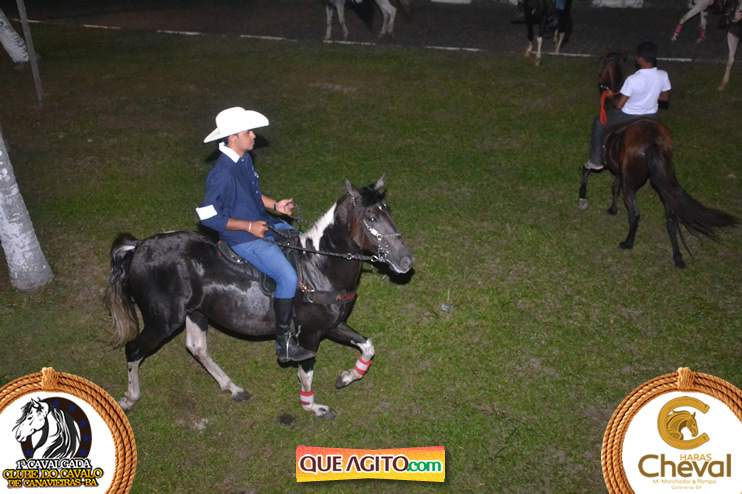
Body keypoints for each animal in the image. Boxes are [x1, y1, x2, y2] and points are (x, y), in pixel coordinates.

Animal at [104, 175, 414, 419]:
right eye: (371, 218)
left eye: (389, 211)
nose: (406, 260)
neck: (319, 266)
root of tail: (138, 247)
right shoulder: (309, 335)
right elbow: (306, 372)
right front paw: (313, 407)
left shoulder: (333, 325)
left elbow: (368, 347)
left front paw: (347, 377)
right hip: (163, 320)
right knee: (134, 350)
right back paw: (129, 399)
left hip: (195, 312)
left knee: (196, 348)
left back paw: (232, 387)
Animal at [577, 51, 738, 268]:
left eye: (601, 66)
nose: (601, 84)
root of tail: (653, 142)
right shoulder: (620, 170)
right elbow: (614, 188)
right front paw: (612, 209)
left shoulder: (607, 164)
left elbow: (588, 170)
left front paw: (583, 198)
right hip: (663, 183)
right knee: (671, 219)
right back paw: (678, 257)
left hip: (634, 185)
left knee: (635, 214)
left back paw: (628, 243)